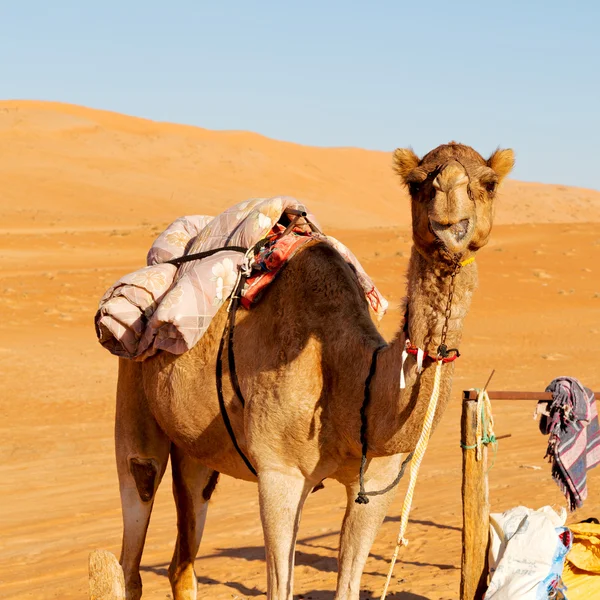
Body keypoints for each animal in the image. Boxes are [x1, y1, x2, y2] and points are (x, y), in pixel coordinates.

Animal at [113, 143, 516, 596]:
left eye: (489, 183)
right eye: (417, 184)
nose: (449, 221)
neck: (355, 381)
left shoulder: (376, 482)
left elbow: (349, 584)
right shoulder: (280, 475)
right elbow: (280, 587)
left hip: (196, 451)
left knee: (182, 558)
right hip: (133, 386)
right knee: (138, 505)